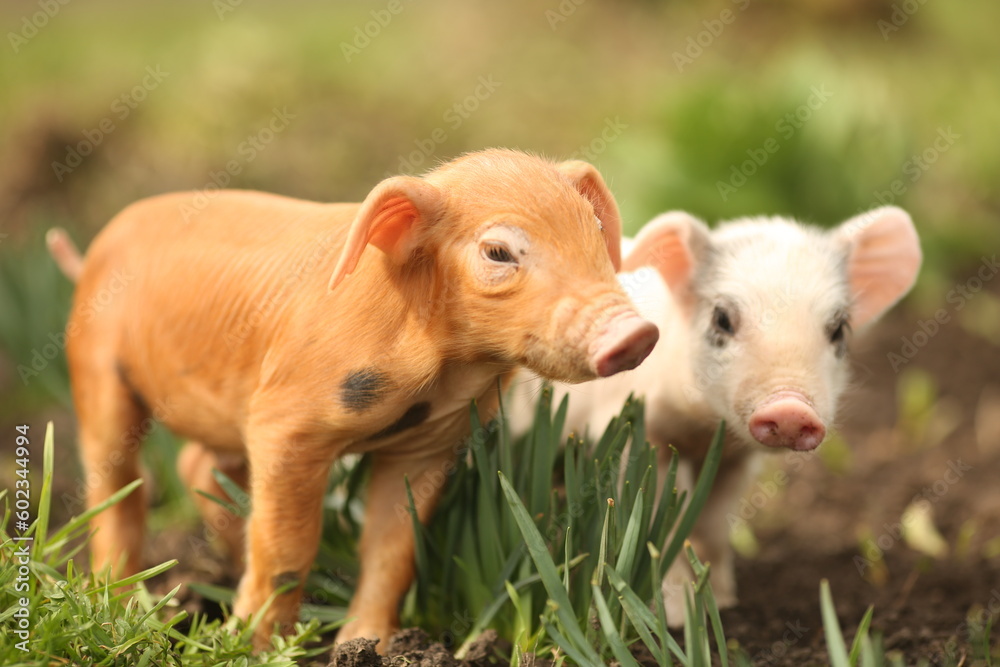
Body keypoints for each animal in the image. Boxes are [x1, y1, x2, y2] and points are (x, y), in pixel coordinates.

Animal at [56, 149, 659, 652]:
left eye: (595, 230)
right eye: (498, 252)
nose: (637, 334)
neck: (444, 369)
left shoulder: (428, 443)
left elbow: (393, 546)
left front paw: (367, 644)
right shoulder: (285, 421)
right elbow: (287, 545)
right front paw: (255, 648)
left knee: (197, 466)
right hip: (93, 363)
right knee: (117, 481)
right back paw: (123, 601)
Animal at [509, 206, 921, 623]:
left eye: (838, 330)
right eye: (722, 319)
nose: (790, 407)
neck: (699, 430)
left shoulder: (734, 459)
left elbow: (713, 527)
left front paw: (724, 603)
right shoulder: (632, 430)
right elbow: (658, 525)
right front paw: (678, 617)